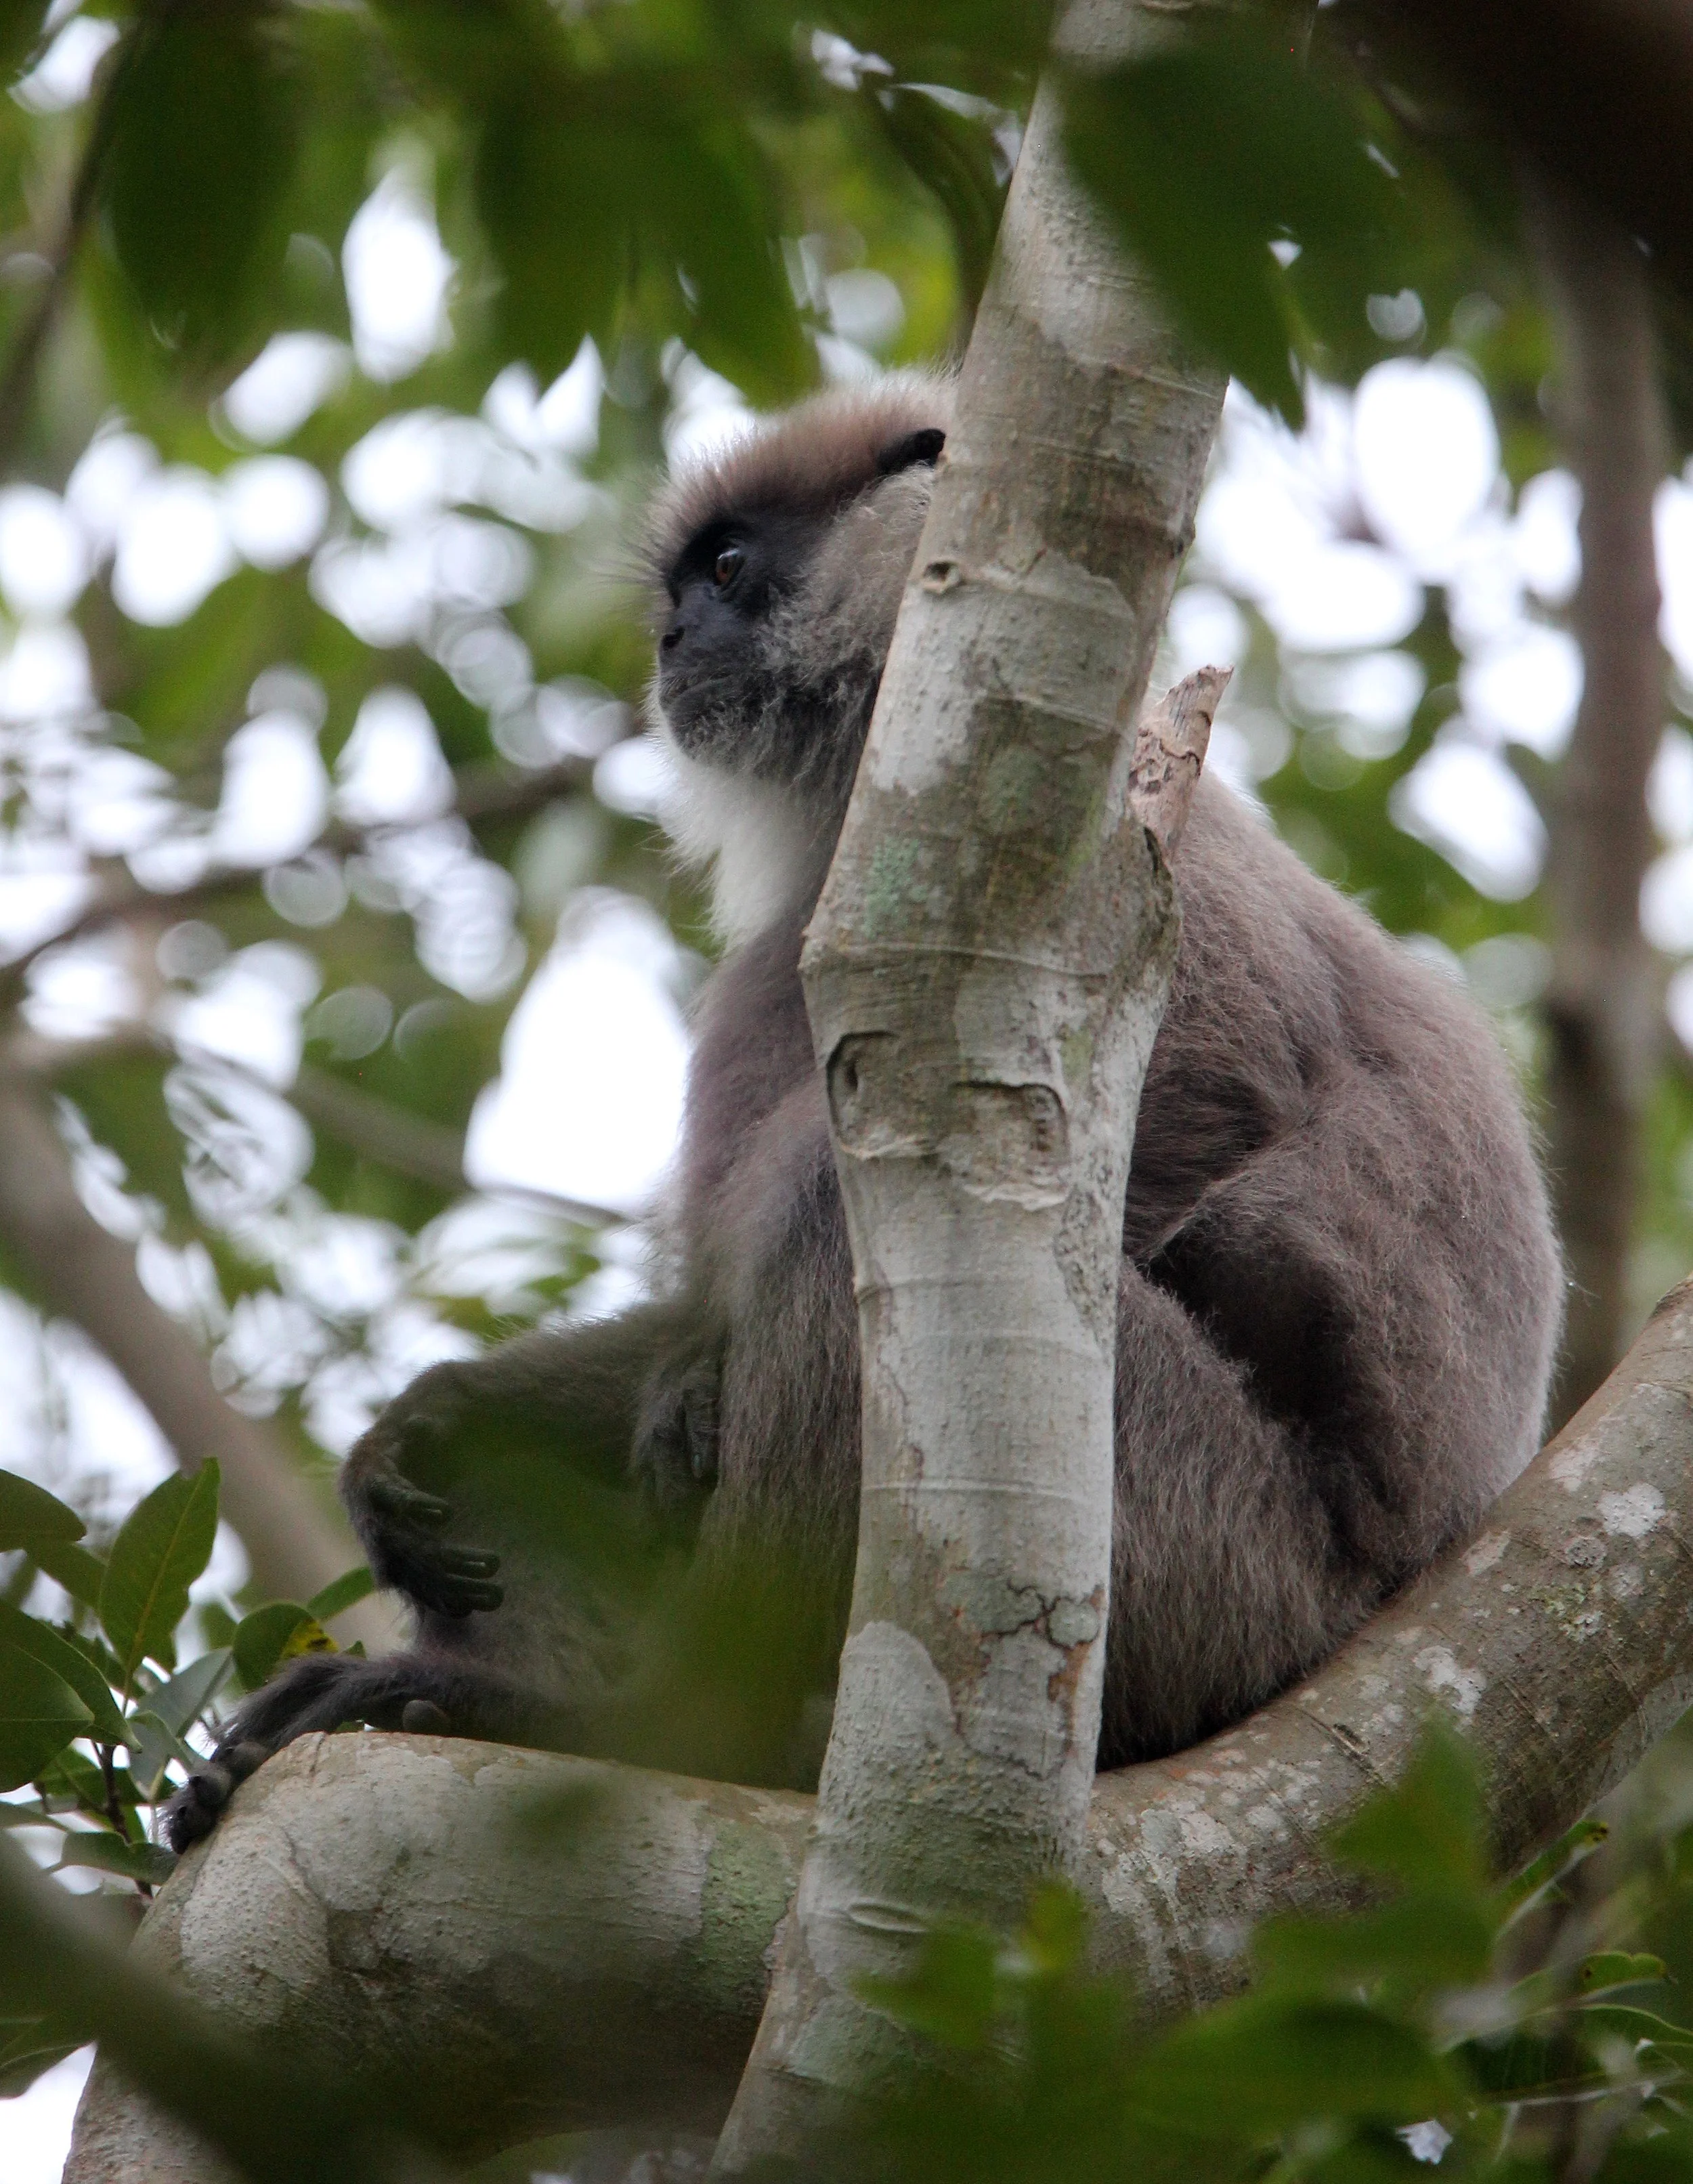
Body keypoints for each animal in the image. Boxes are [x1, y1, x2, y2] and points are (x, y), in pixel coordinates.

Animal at [165, 373, 1563, 1851]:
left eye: (728, 568)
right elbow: (688, 1307)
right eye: (681, 588)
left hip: (1202, 1562)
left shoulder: (1121, 861)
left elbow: (1219, 1100)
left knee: (854, 1217)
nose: (671, 637)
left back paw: (645, 1724)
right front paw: (422, 1430)